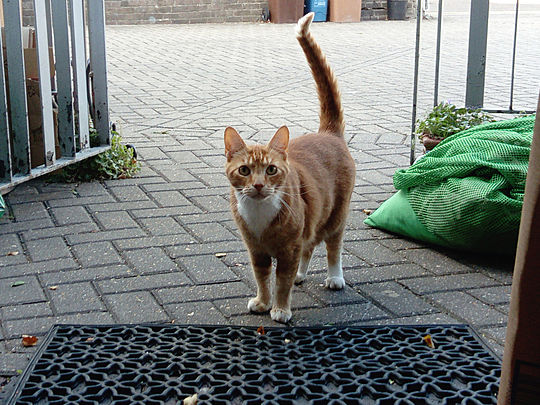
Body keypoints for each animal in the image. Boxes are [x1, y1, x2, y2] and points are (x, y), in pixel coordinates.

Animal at [223, 11, 354, 322]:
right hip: (314, 217)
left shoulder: (288, 250)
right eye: (245, 170)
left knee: (332, 247)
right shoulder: (256, 251)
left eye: (271, 170)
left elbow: (281, 281)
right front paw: (262, 302)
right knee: (311, 245)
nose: (259, 185)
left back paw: (334, 277)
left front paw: (281, 309)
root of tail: (328, 132)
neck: (259, 214)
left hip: (335, 216)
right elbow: (262, 279)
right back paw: (302, 275)